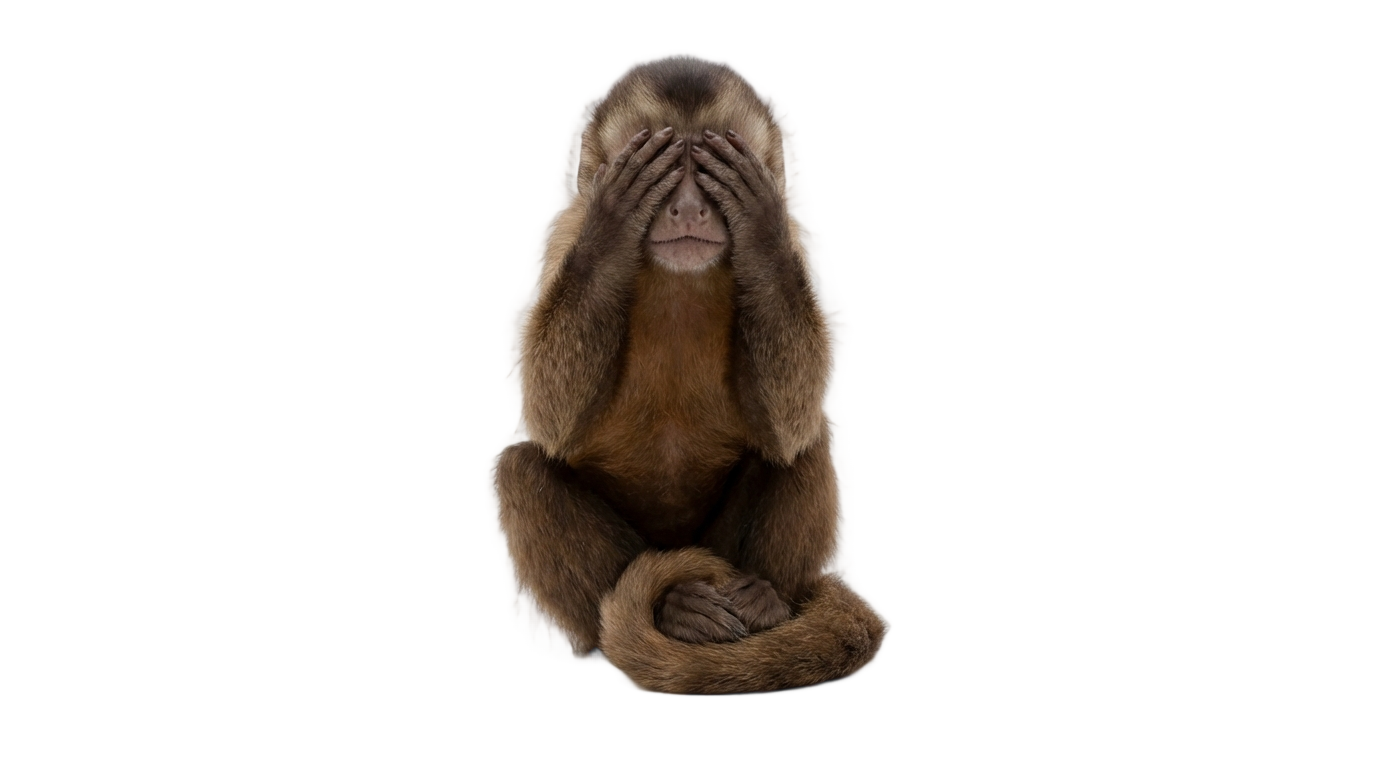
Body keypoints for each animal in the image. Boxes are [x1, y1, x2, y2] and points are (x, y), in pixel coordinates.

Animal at [494, 57, 883, 694]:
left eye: (707, 166)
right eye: (667, 165)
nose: (689, 207)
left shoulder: (797, 237)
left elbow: (789, 423)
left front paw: (759, 220)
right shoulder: (564, 230)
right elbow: (552, 423)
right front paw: (614, 219)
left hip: (723, 553)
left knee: (801, 441)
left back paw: (768, 603)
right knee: (523, 469)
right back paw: (673, 608)